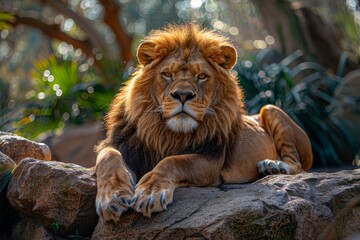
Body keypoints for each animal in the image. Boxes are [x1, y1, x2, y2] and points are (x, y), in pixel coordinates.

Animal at [95, 23, 312, 221]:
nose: (183, 95)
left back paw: (273, 166)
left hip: (270, 108)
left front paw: (150, 192)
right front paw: (111, 197)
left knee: (298, 166)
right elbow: (107, 158)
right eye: (167, 74)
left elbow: (172, 161)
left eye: (201, 76)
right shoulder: (120, 145)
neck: (166, 133)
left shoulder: (211, 159)